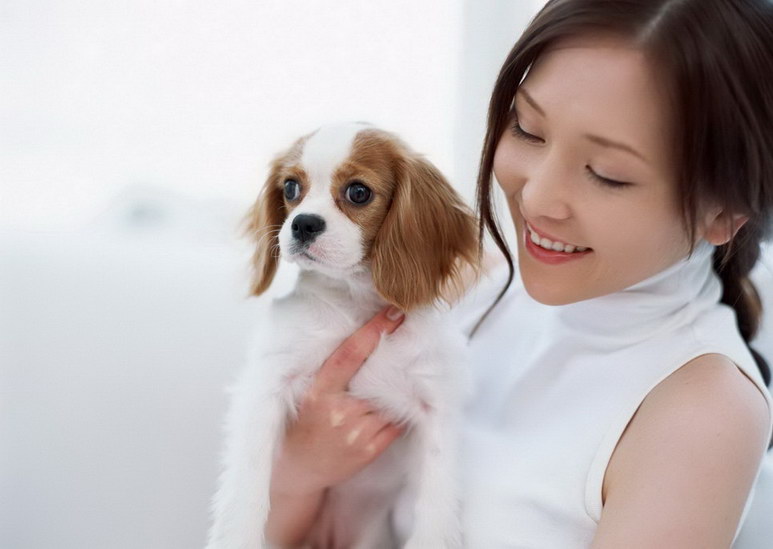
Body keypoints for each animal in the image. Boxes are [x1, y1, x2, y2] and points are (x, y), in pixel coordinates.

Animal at [206, 122, 480, 548]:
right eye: (290, 188)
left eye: (358, 192)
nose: (302, 223)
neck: (355, 304)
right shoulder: (266, 385)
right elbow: (247, 480)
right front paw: (239, 535)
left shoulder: (437, 407)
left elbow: (436, 503)